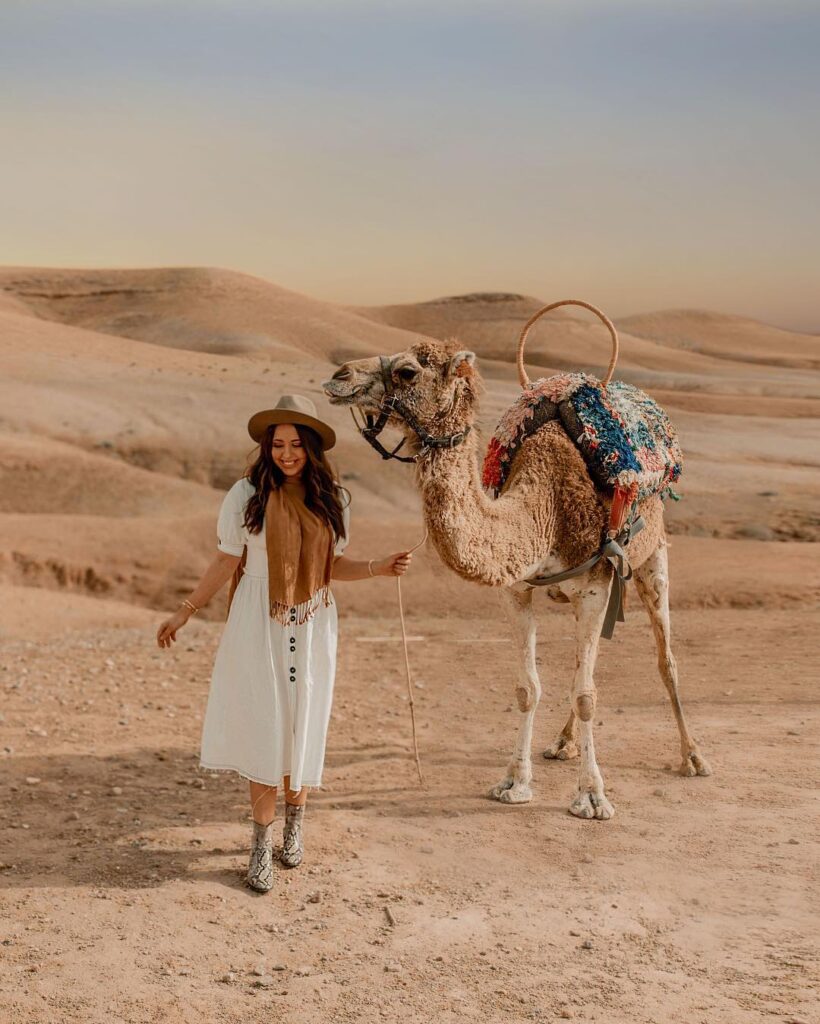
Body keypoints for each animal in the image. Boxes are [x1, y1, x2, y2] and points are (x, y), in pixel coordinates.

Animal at [319, 339, 708, 819]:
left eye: (408, 371)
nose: (339, 376)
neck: (545, 506)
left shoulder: (595, 584)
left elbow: (587, 696)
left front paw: (592, 797)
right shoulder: (517, 590)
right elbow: (529, 688)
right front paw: (514, 782)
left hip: (653, 555)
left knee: (664, 657)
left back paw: (692, 756)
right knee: (586, 668)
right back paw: (562, 744)